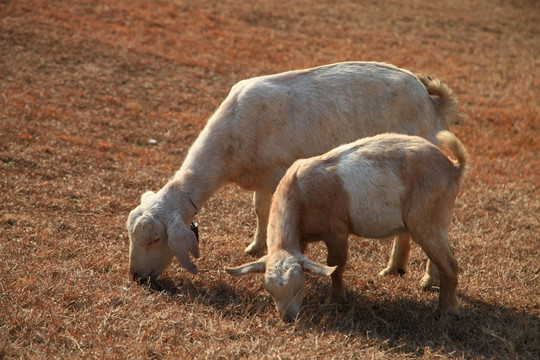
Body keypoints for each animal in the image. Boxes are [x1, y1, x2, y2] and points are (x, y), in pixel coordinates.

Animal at [127, 61, 460, 282]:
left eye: (155, 238)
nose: (136, 277)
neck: (231, 143)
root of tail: (432, 101)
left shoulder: (279, 176)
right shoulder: (262, 179)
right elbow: (260, 211)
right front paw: (255, 247)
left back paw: (426, 278)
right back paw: (396, 268)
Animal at [226, 130, 466, 324]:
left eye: (300, 286)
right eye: (268, 289)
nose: (288, 318)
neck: (298, 194)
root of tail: (454, 167)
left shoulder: (336, 231)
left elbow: (336, 265)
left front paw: (335, 301)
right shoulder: (300, 239)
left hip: (426, 219)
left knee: (450, 265)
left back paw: (448, 316)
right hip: (437, 221)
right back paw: (439, 309)